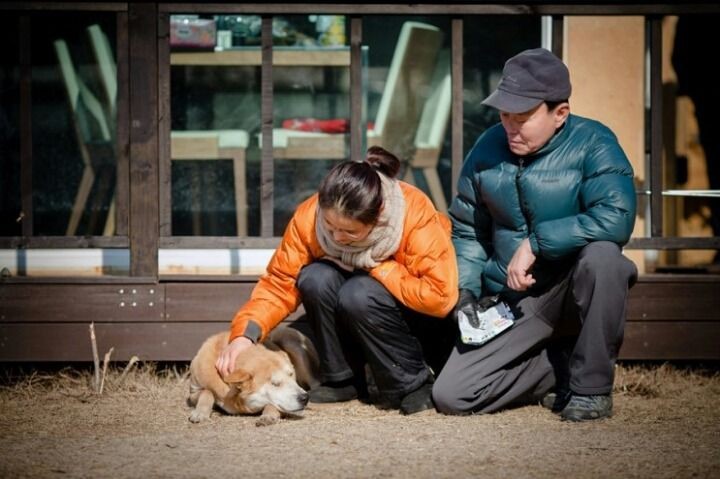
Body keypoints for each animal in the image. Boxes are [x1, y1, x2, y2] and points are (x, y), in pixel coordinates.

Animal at [188, 326, 318, 428]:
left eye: (291, 375)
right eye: (275, 383)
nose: (305, 398)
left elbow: (272, 404)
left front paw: (268, 416)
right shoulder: (194, 391)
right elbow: (207, 392)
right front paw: (200, 413)